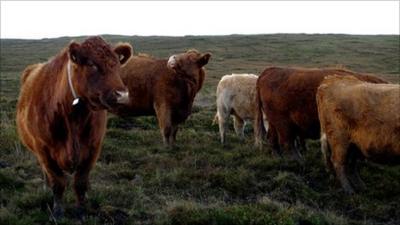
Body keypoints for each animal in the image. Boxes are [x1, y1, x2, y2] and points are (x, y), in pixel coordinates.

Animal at [16, 37, 132, 220]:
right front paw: (57, 212)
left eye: (117, 64)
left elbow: (80, 183)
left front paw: (81, 211)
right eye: (91, 64)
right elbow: (57, 182)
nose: (122, 95)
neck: (74, 119)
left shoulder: (93, 149)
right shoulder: (43, 150)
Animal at [255, 67, 386, 160]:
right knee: (287, 142)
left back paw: (278, 156)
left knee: (272, 137)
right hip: (283, 123)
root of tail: (270, 70)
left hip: (274, 122)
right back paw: (299, 160)